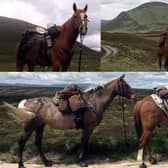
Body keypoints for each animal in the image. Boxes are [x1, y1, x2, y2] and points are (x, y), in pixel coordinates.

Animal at [4, 75, 135, 168]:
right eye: (125, 85)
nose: (134, 96)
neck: (94, 102)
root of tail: (26, 102)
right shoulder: (88, 128)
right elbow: (84, 143)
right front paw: (82, 161)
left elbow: (83, 143)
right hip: (30, 127)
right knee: (22, 142)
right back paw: (21, 164)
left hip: (40, 126)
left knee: (38, 143)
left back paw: (46, 162)